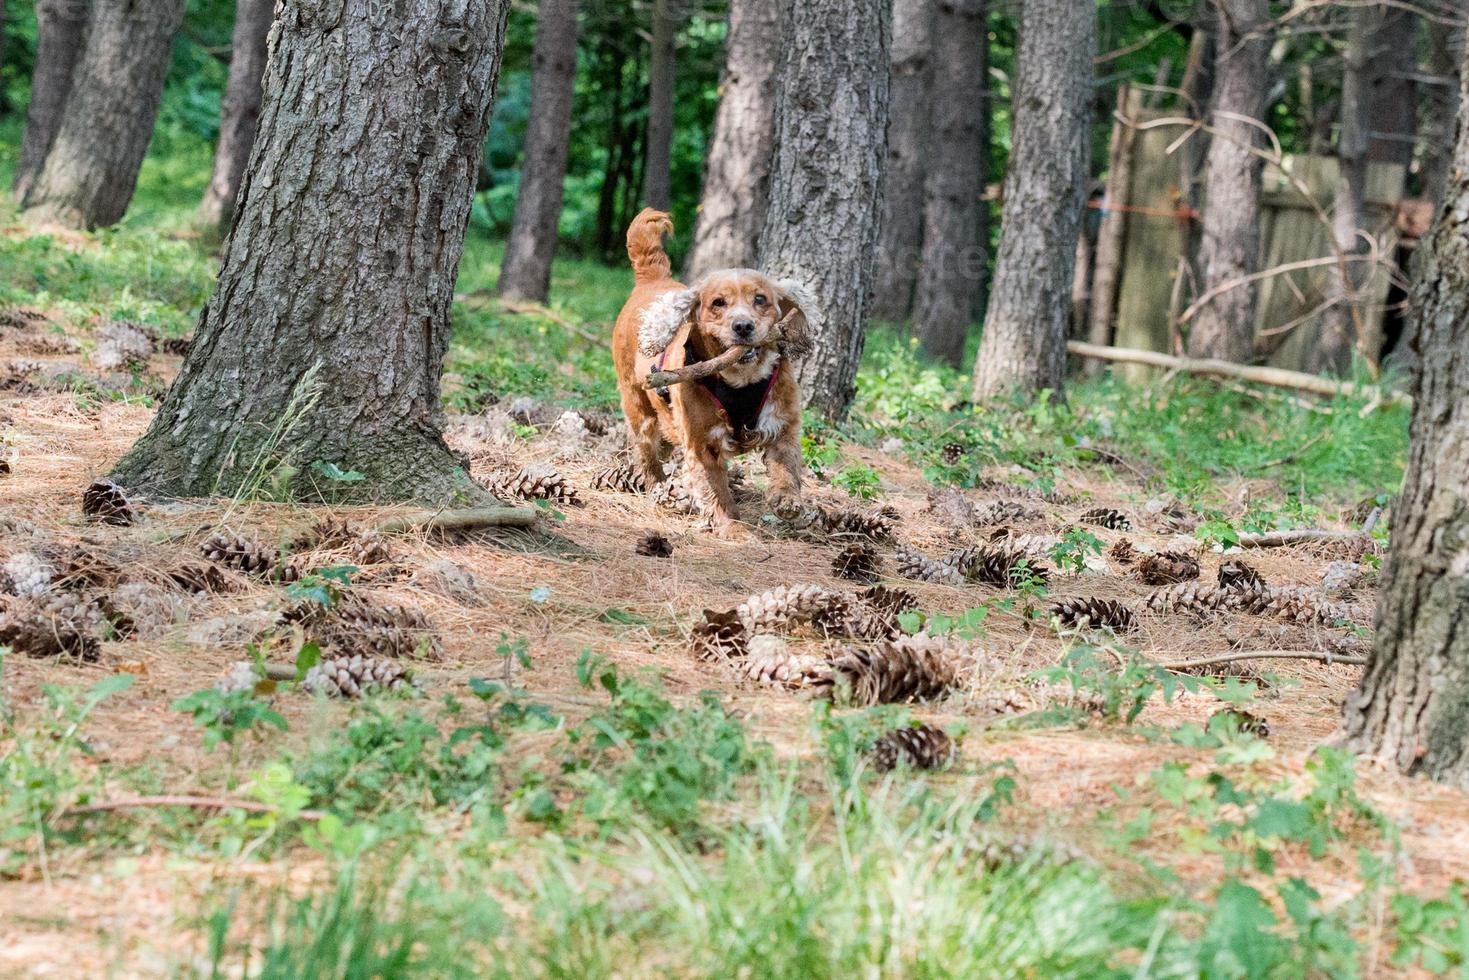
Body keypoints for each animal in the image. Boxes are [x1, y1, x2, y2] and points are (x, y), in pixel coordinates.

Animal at [608, 208, 816, 540]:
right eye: (719, 303)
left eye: (760, 299)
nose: (743, 326)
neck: (741, 381)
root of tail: (652, 281)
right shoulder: (702, 443)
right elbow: (716, 489)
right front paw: (731, 526)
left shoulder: (782, 425)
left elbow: (786, 466)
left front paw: (787, 501)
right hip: (638, 408)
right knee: (647, 454)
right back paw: (658, 488)